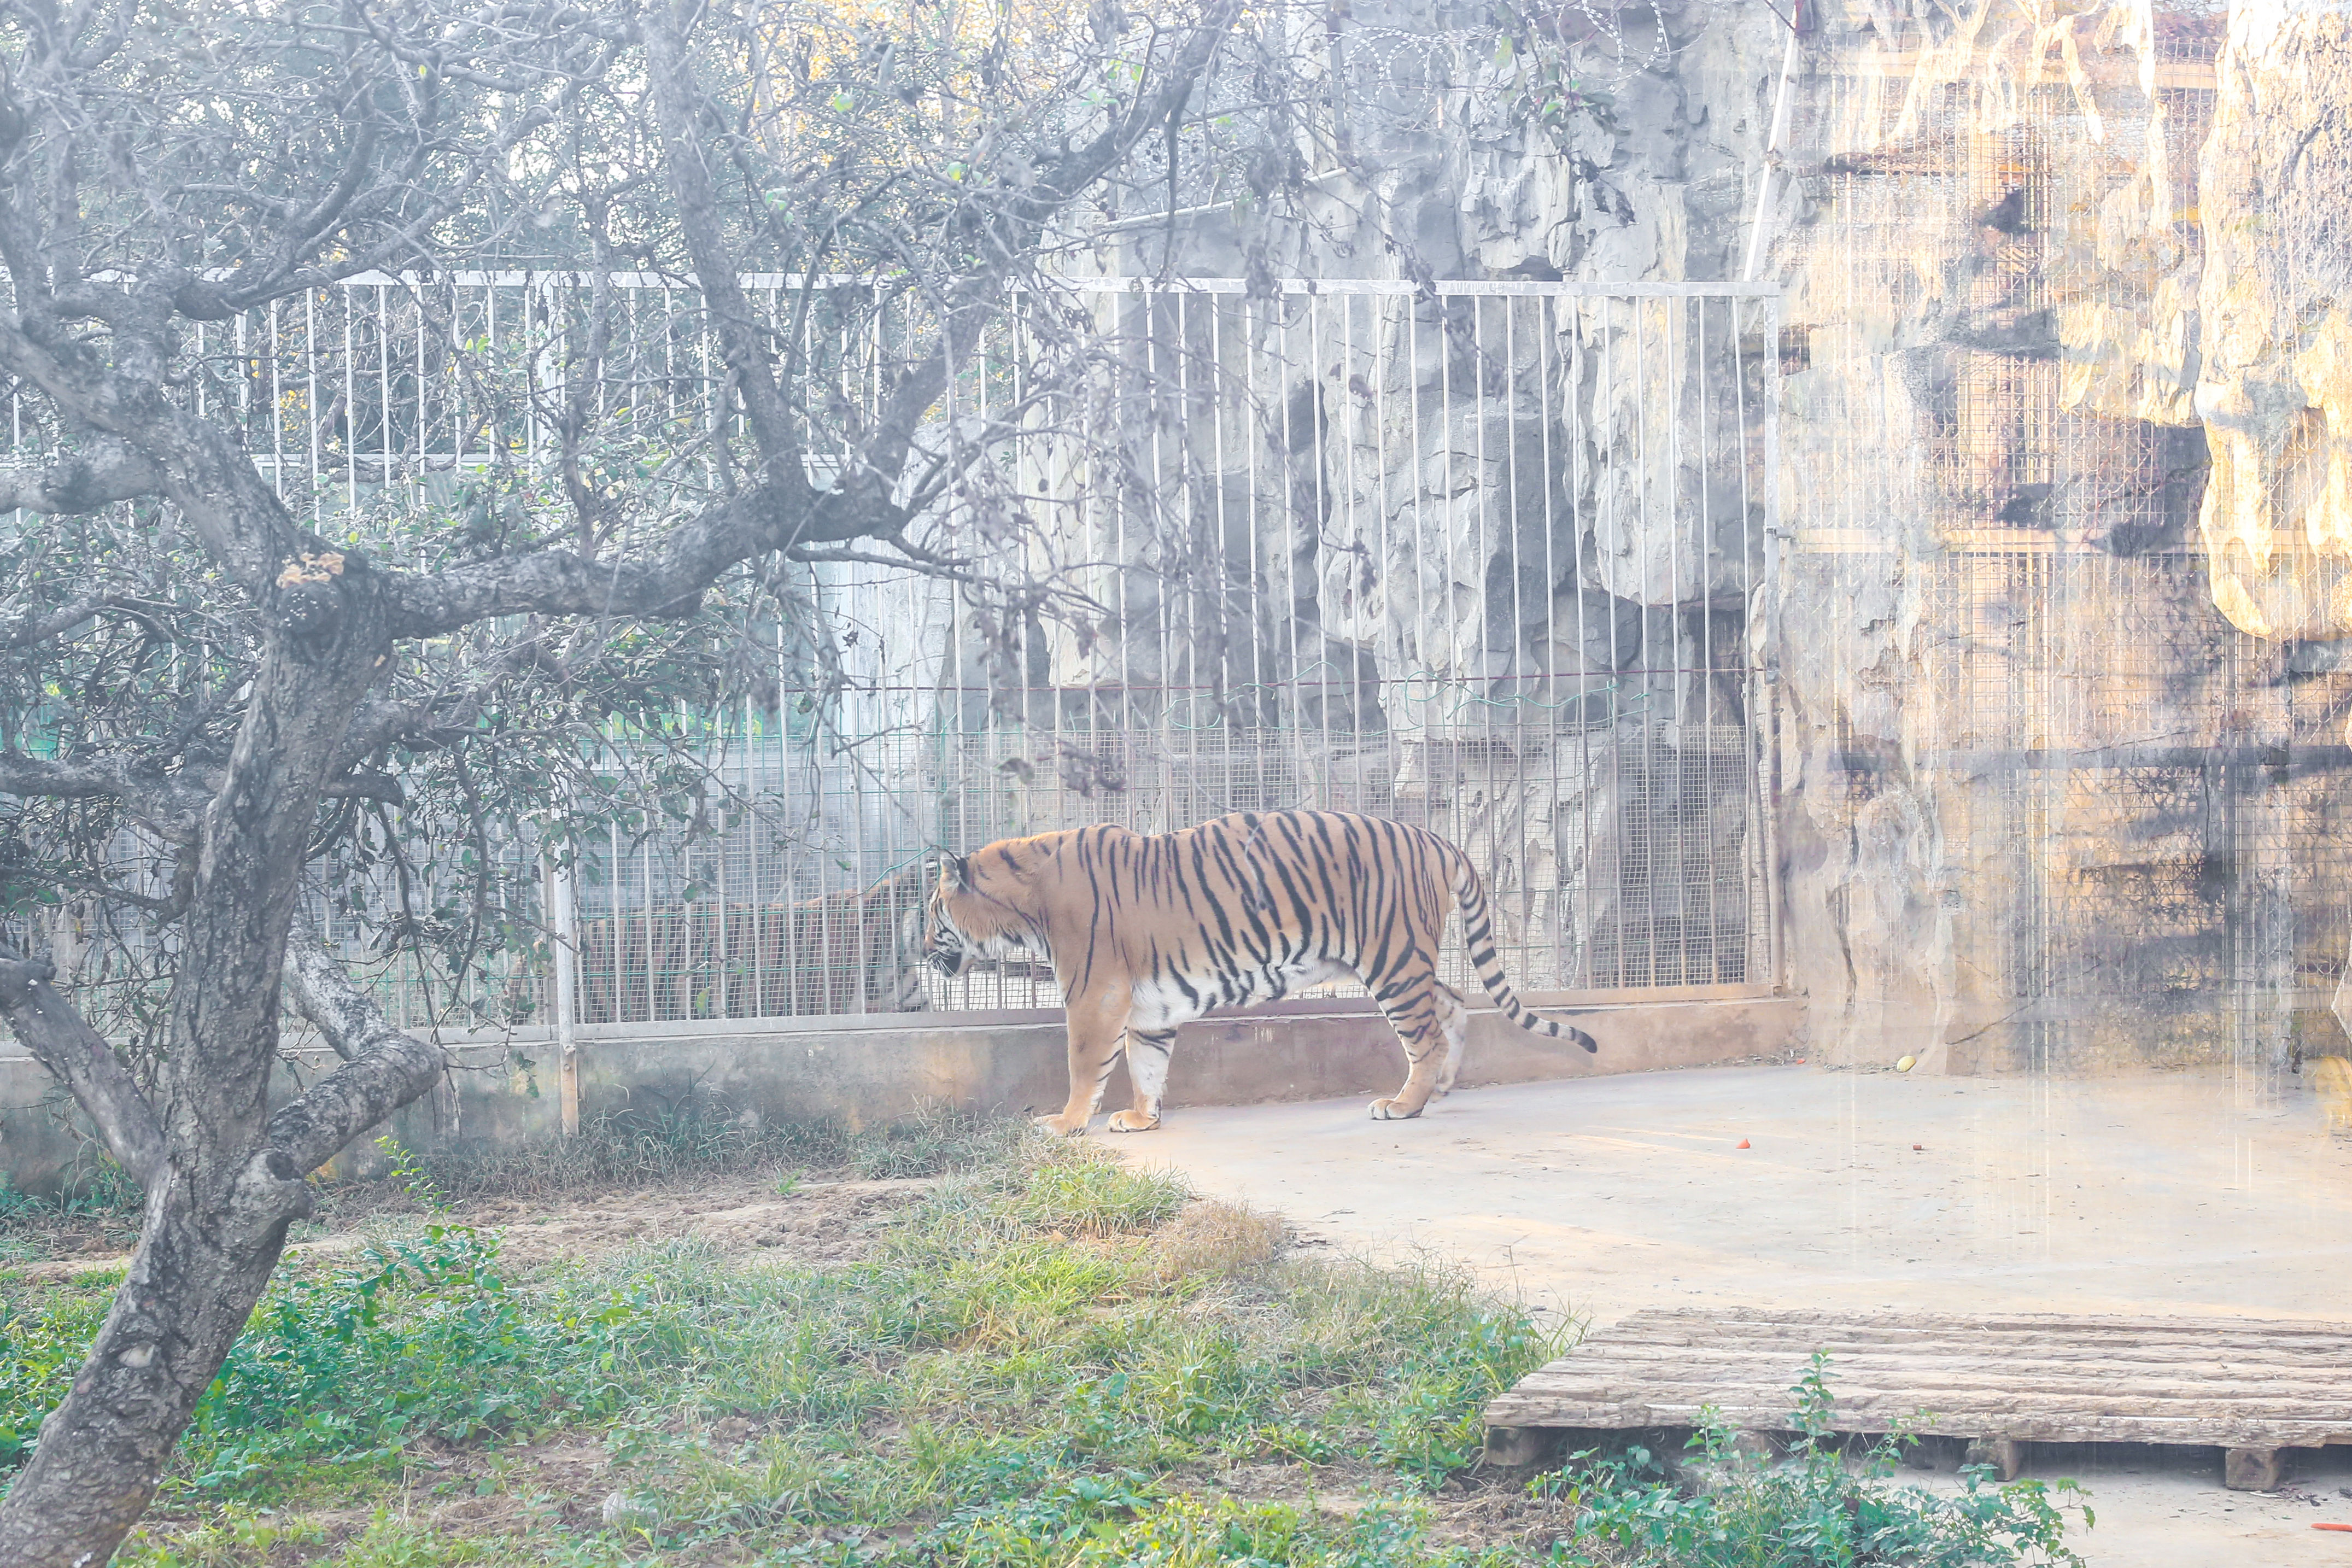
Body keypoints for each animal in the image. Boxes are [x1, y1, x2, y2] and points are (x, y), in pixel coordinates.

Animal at [917, 818, 1599, 1133]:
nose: (921, 949)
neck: (1023, 909)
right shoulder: (1146, 1007)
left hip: (1393, 961)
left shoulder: (1095, 993)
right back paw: (1442, 1090)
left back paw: (1404, 1106)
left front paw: (1063, 1124)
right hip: (1407, 962)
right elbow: (1146, 1064)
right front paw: (1143, 1119)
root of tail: (1437, 838)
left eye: (929, 913)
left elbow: (1085, 1062)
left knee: (1426, 1036)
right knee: (1455, 1006)